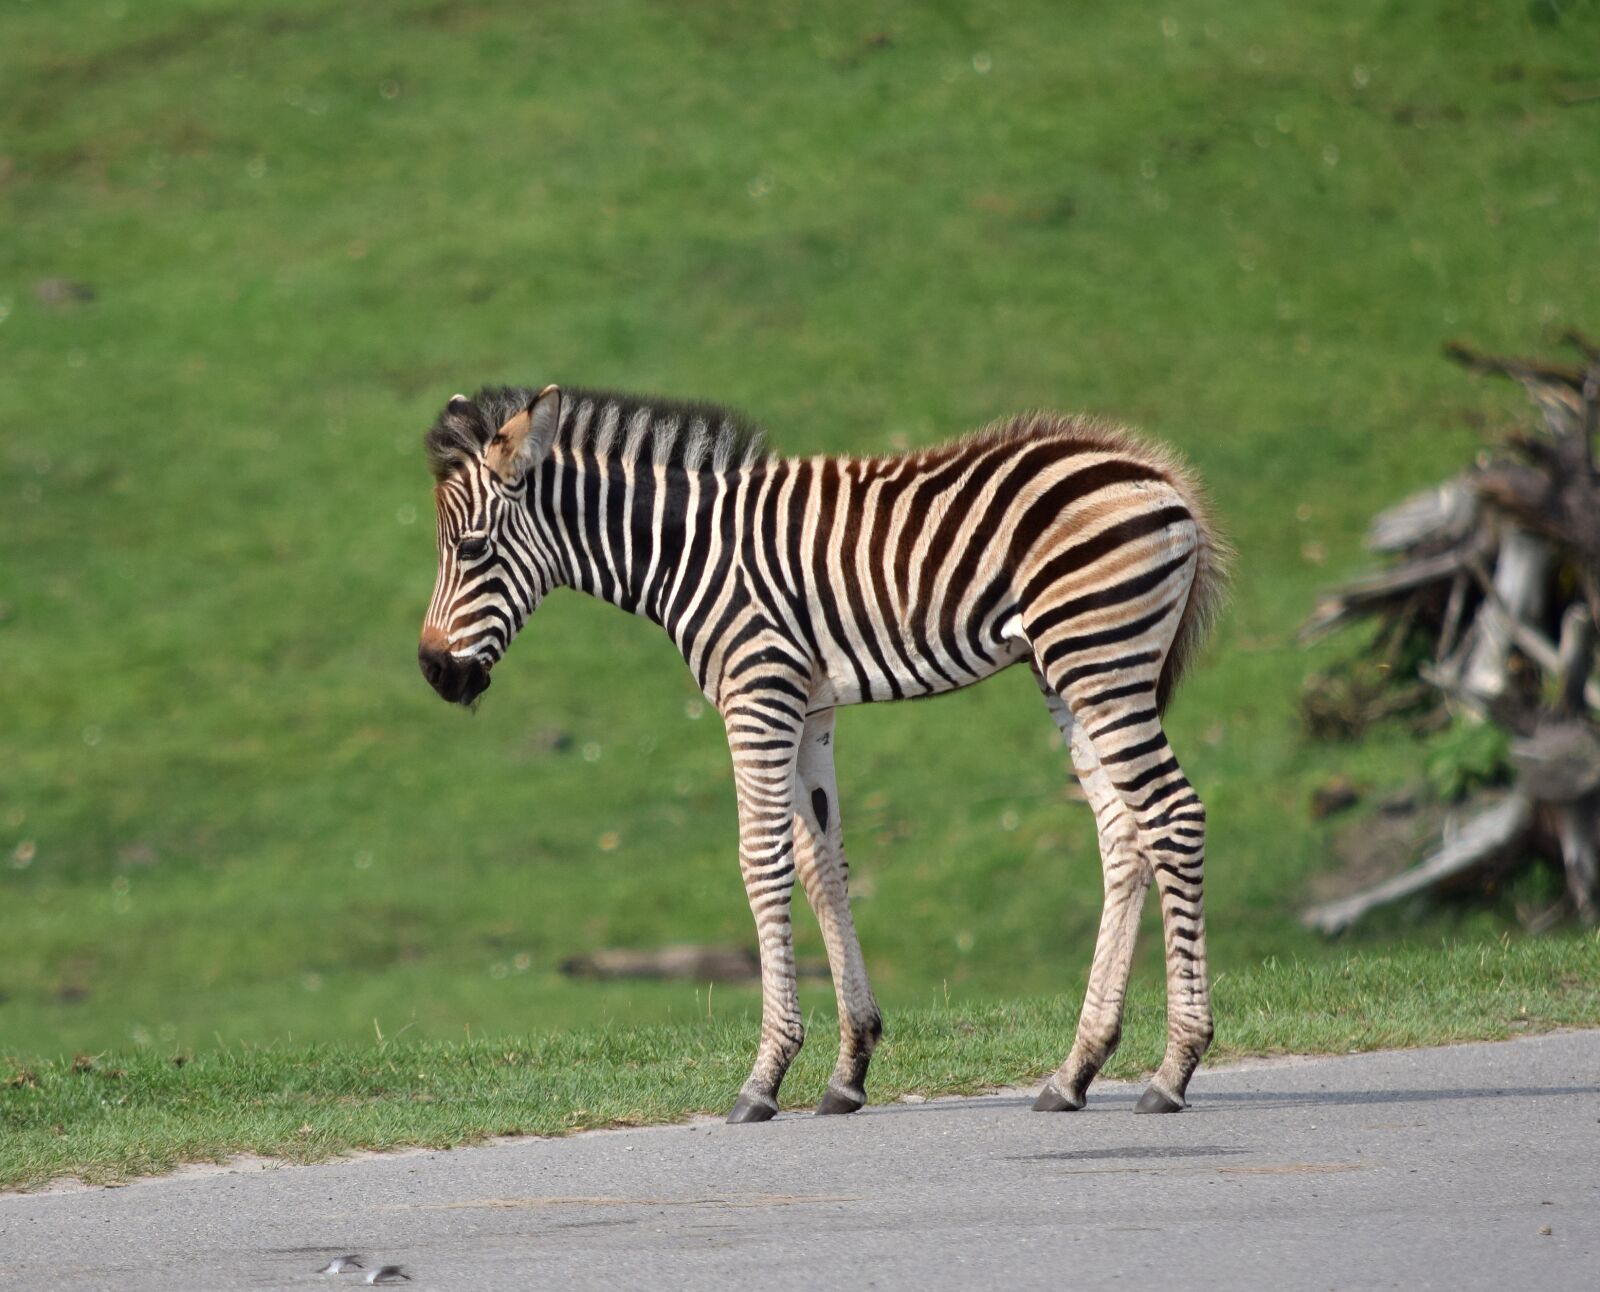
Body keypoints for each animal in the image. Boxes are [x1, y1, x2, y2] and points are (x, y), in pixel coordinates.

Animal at [418, 383, 1230, 1122]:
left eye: (471, 549)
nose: (433, 672)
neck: (687, 551)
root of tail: (1162, 477)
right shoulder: (809, 707)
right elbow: (822, 867)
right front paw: (850, 1069)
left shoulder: (758, 693)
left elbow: (762, 864)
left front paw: (764, 1078)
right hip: (1067, 668)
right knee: (1123, 832)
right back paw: (1075, 1071)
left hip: (1099, 655)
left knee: (1174, 815)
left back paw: (1173, 1069)